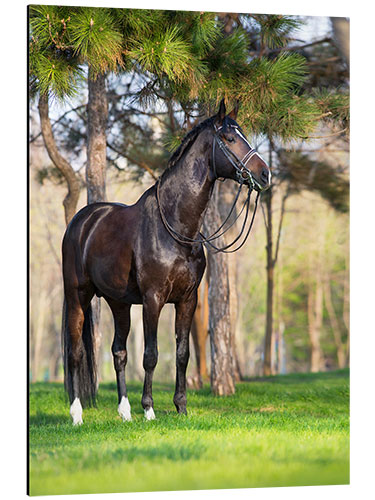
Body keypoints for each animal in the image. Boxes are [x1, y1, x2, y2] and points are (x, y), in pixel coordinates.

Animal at [63, 99, 272, 424]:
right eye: (229, 138)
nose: (265, 175)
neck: (176, 226)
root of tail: (81, 221)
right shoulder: (153, 298)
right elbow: (151, 355)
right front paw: (149, 409)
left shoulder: (188, 300)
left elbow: (182, 353)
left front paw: (181, 407)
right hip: (78, 297)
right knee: (75, 353)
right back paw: (77, 414)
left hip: (118, 303)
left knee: (118, 352)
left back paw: (125, 412)